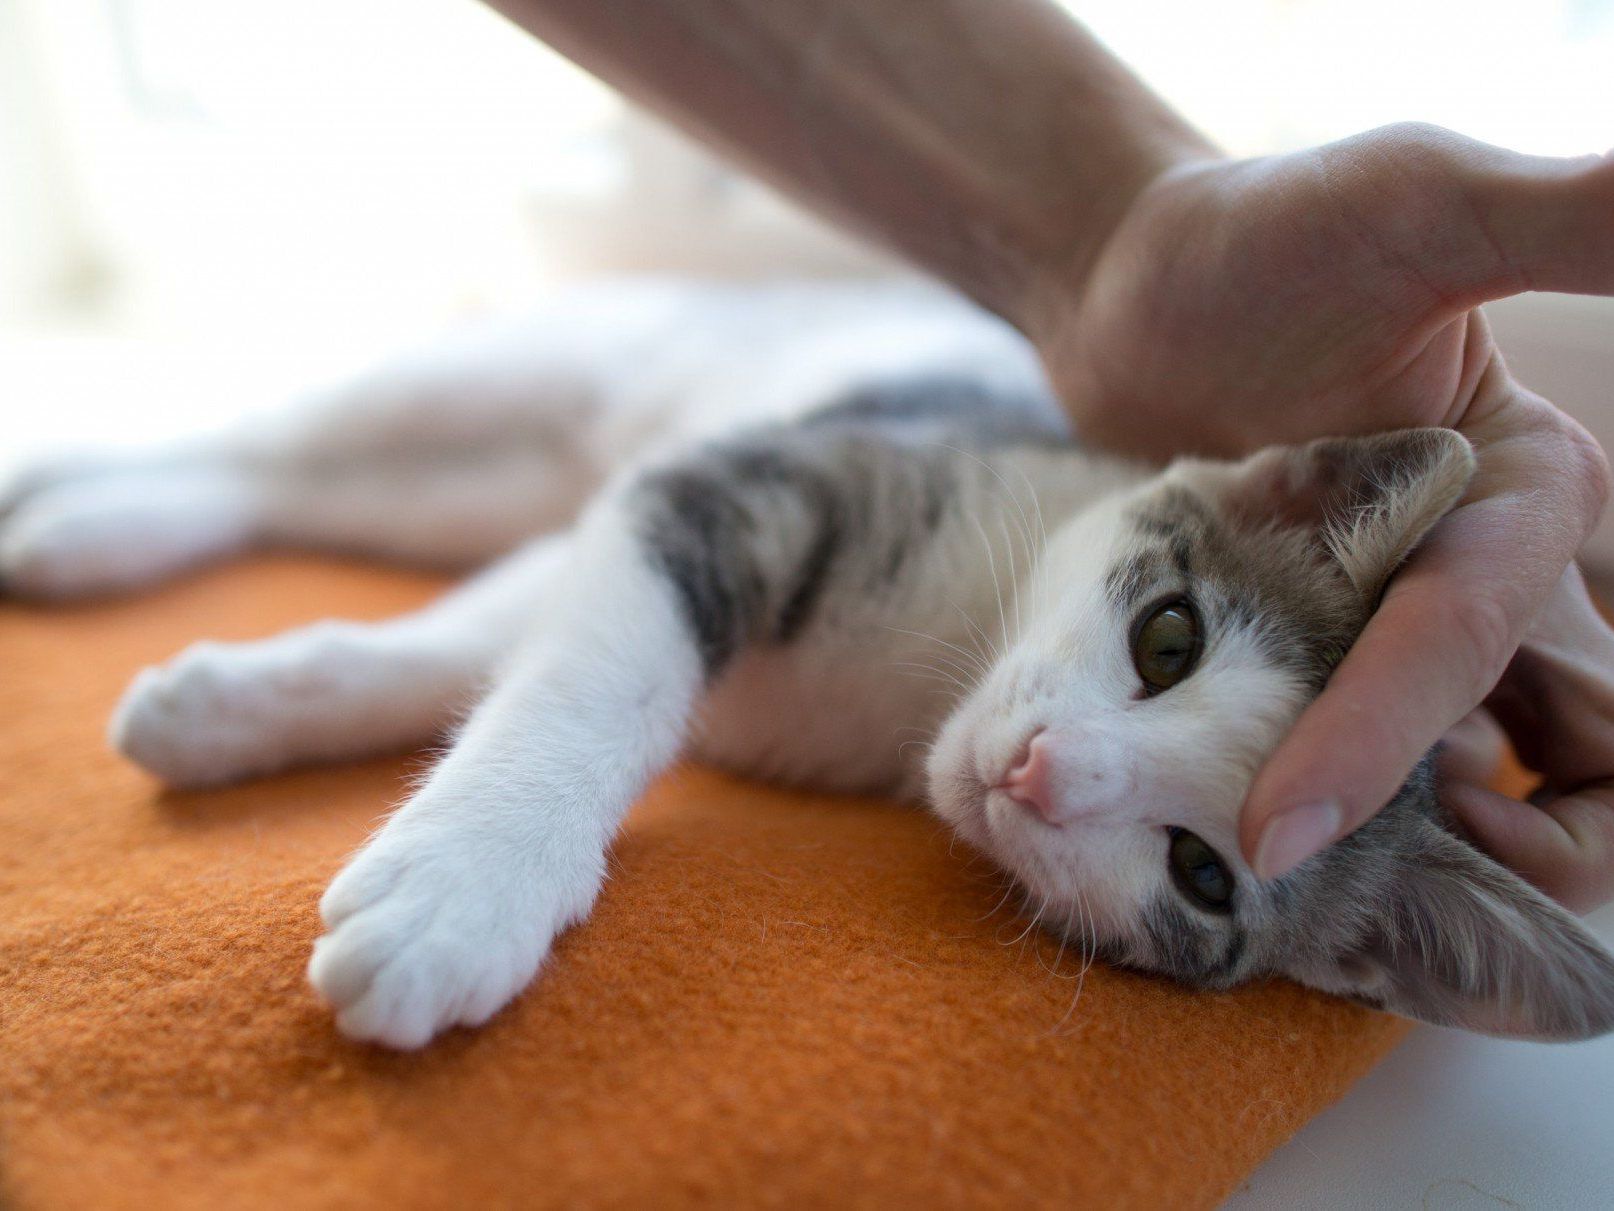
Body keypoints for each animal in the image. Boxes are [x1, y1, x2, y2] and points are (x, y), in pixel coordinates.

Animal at [3, 279, 1614, 1046]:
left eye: (1202, 874)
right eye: (1168, 636)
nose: (1042, 770)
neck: (926, 673)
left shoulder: (640, 504)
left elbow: (483, 636)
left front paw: (231, 709)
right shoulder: (743, 478)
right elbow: (595, 675)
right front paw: (467, 887)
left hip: (496, 469)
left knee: (312, 486)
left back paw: (98, 528)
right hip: (532, 367)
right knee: (278, 431)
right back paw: (77, 490)